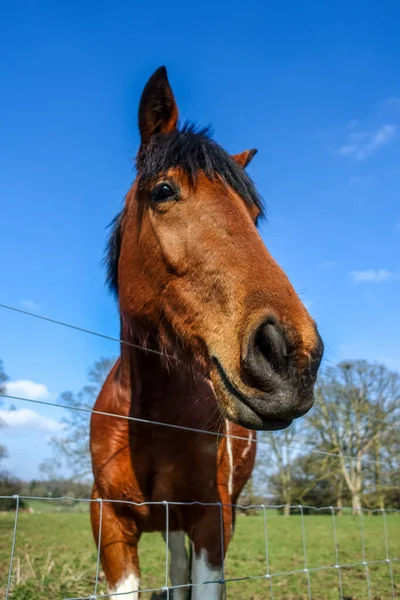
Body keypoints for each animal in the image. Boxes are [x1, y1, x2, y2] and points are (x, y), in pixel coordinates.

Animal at [90, 68, 322, 596]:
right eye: (163, 191)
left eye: (253, 216)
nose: (291, 355)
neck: (151, 418)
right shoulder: (110, 525)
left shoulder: (211, 525)